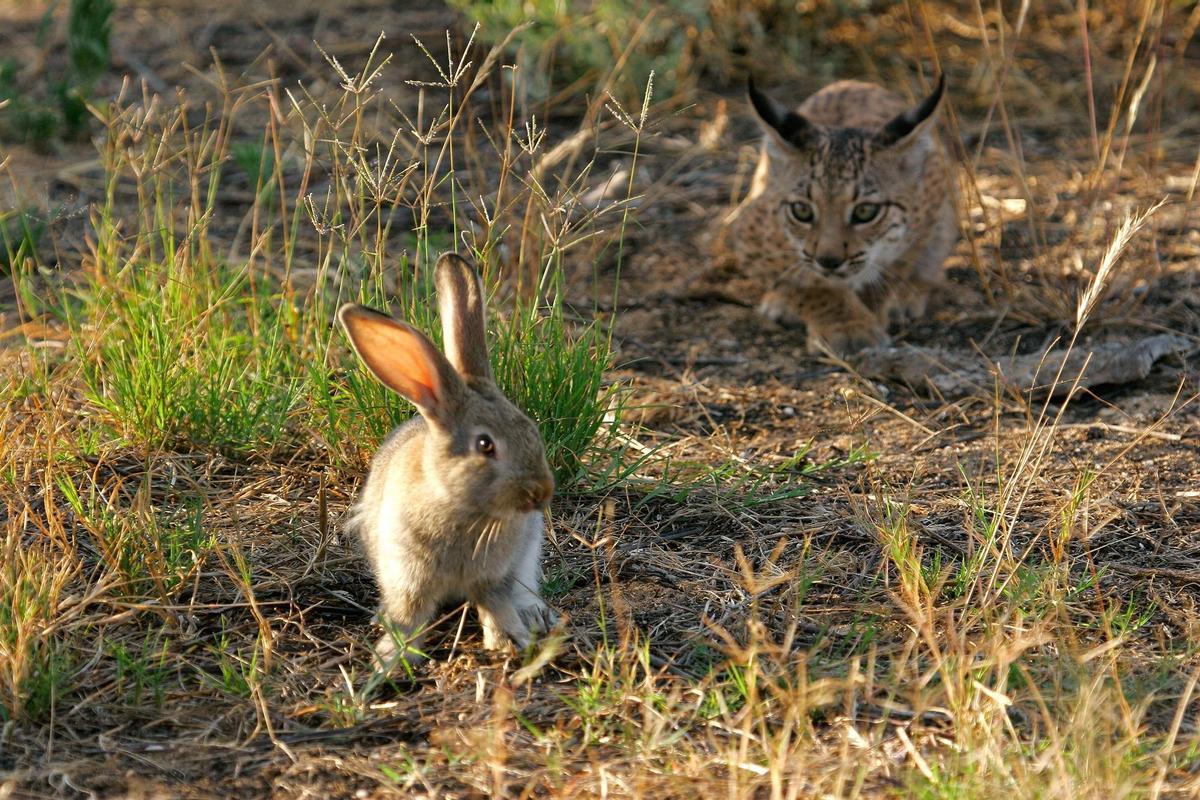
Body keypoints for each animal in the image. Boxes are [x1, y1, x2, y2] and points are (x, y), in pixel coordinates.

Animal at [338, 253, 556, 666]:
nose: (541, 493)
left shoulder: (496, 575)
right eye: (485, 445)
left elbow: (495, 603)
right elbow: (409, 614)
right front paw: (393, 656)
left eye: (532, 428)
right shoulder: (407, 575)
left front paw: (510, 640)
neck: (457, 505)